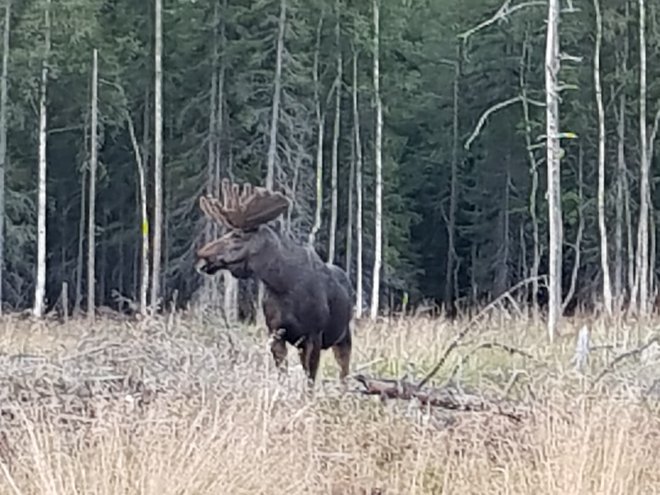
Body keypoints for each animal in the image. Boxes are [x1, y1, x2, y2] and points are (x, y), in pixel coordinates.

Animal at [194, 179, 354, 388]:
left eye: (237, 235)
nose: (202, 253)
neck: (283, 284)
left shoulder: (314, 334)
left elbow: (310, 380)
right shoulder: (276, 331)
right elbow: (282, 374)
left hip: (344, 334)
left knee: (344, 369)